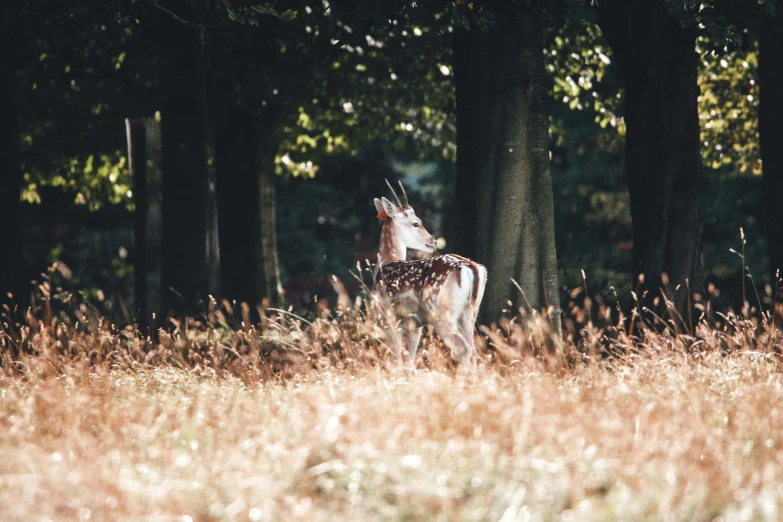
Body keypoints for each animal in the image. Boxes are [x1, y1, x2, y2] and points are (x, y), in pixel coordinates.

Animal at [372, 180, 486, 370]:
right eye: (416, 223)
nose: (433, 241)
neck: (384, 264)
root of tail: (471, 268)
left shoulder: (387, 315)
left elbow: (395, 357)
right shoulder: (413, 323)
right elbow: (409, 359)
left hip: (440, 313)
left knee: (464, 348)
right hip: (470, 312)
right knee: (474, 349)